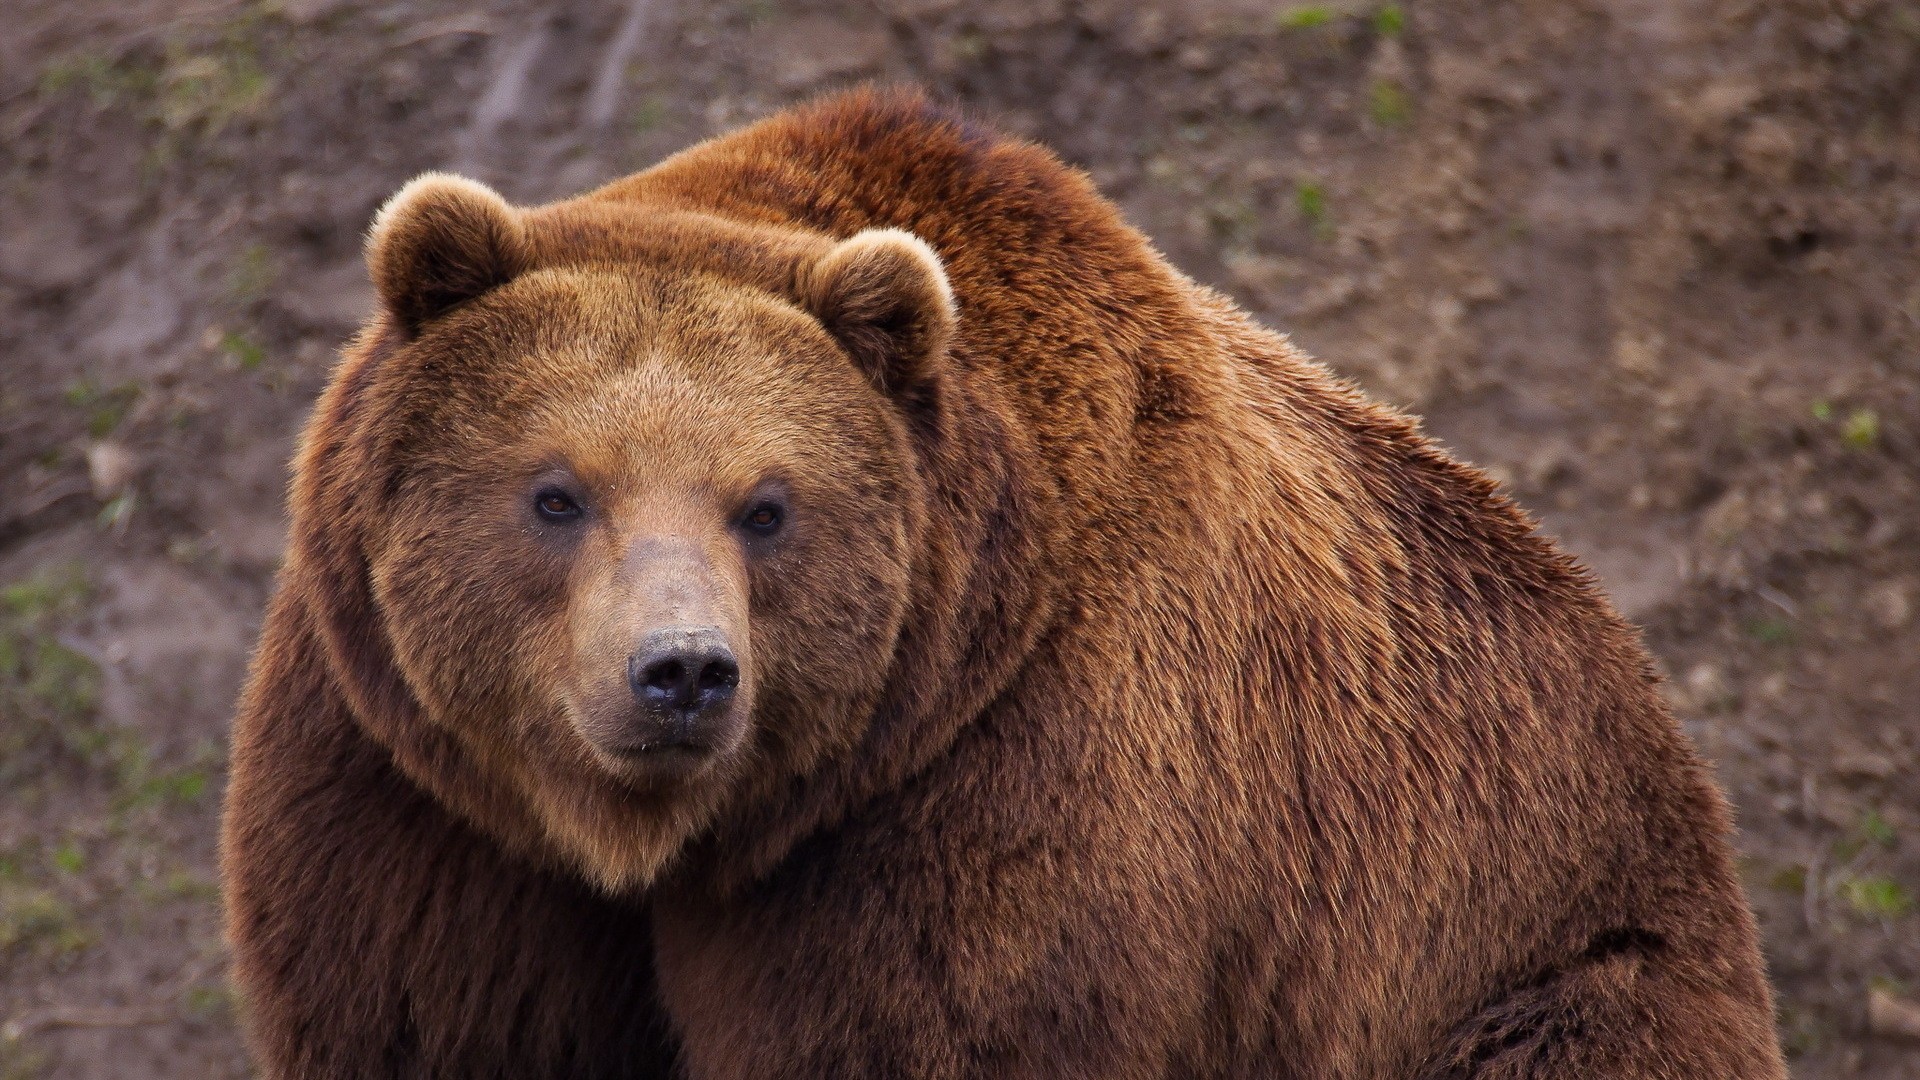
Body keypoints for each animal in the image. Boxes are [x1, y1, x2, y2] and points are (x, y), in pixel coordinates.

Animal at [221, 88, 1786, 1079]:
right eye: (557, 493)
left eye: (767, 507)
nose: (680, 673)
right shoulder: (423, 798)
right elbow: (434, 1017)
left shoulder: (1001, 787)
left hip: (1524, 948)